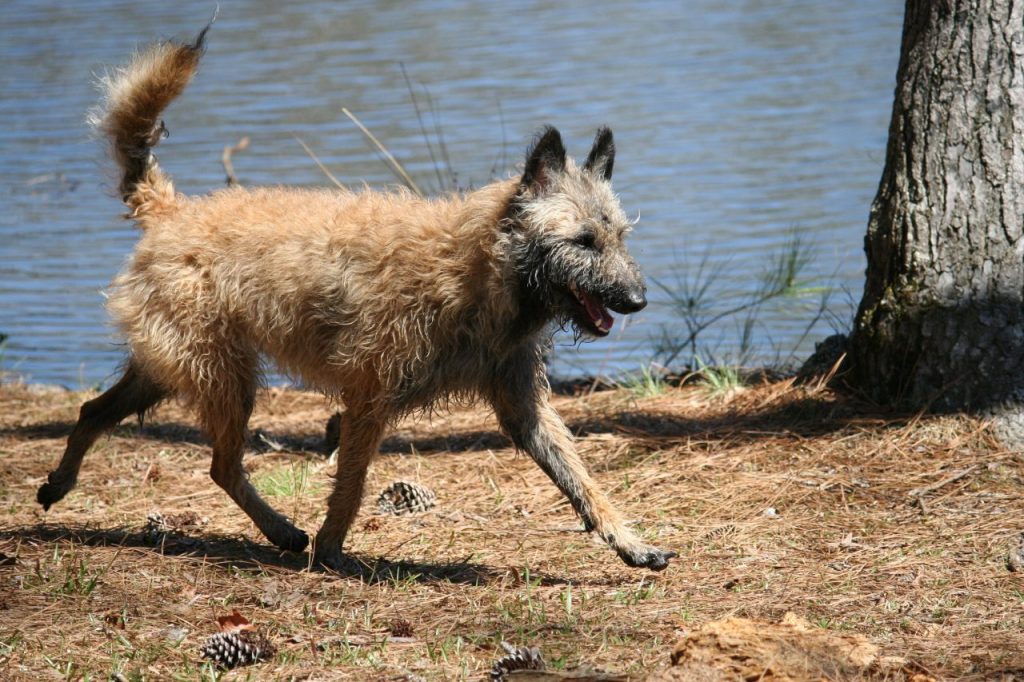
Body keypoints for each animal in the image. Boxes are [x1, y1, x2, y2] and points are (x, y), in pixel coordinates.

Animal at [37, 25, 679, 569]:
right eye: (583, 241)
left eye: (619, 237)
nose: (637, 299)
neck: (478, 271)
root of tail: (171, 211)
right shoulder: (367, 399)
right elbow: (350, 485)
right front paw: (331, 550)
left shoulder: (526, 409)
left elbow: (583, 479)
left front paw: (629, 541)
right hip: (223, 376)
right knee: (220, 463)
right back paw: (283, 532)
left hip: (176, 369)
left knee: (96, 412)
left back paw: (60, 483)